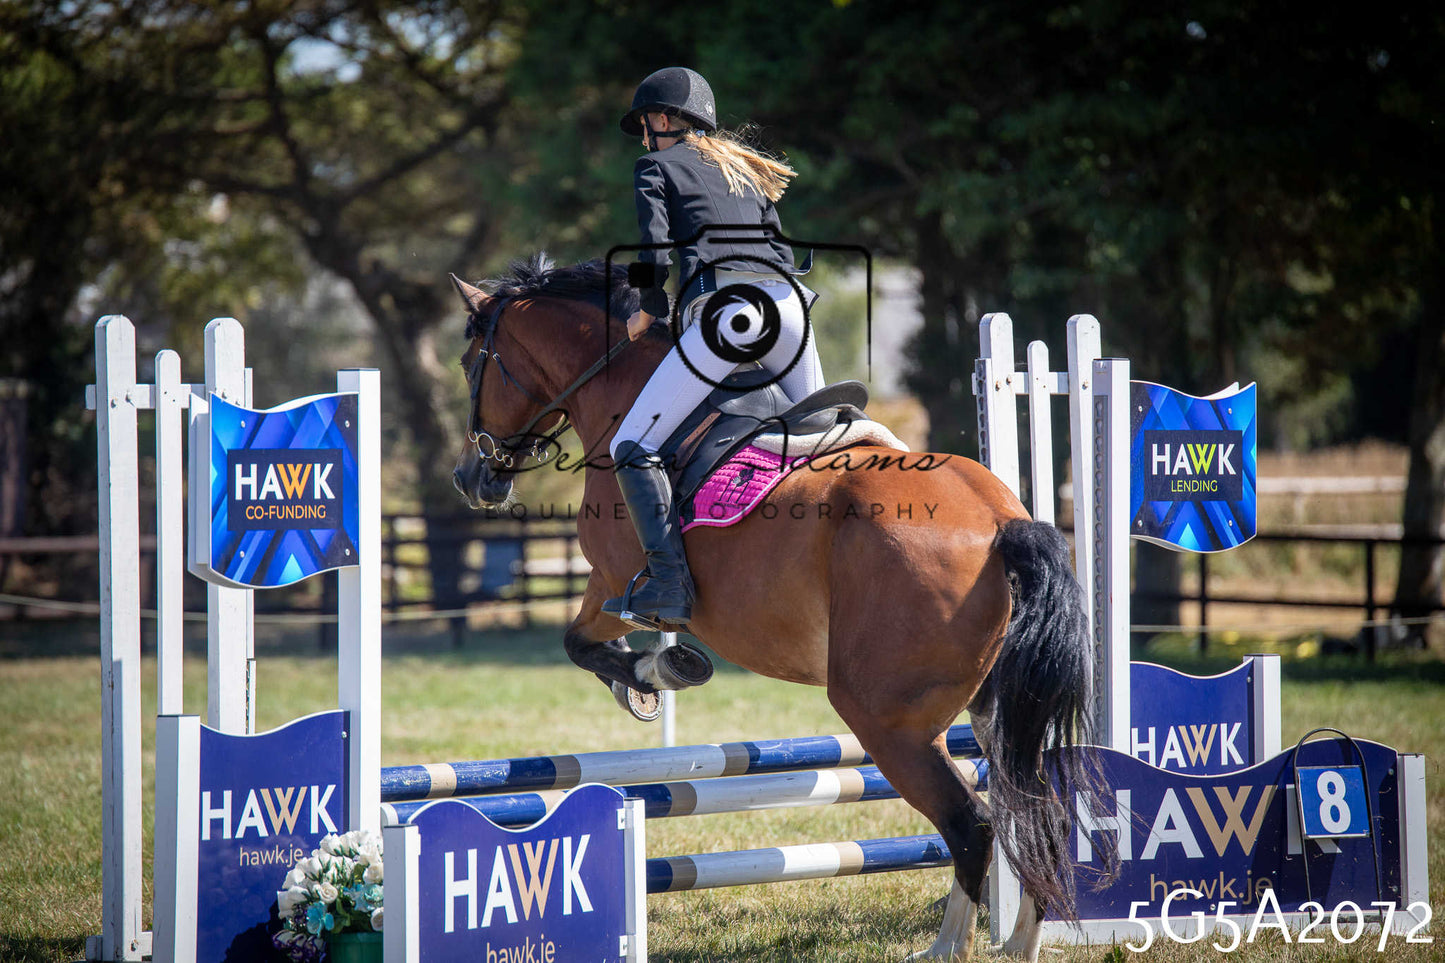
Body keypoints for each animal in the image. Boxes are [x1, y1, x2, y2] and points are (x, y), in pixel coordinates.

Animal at [449, 255, 1110, 960]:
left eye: (469, 363)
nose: (471, 477)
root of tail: (1002, 523)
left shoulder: (611, 579)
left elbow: (581, 643)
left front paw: (653, 676)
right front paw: (653, 680)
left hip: (887, 720)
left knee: (973, 821)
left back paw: (946, 947)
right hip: (994, 709)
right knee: (1036, 811)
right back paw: (1018, 942)